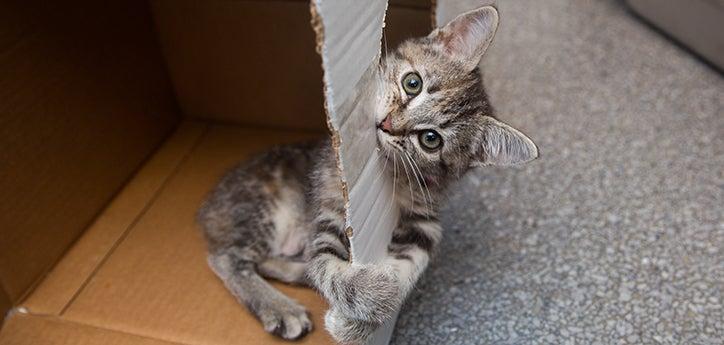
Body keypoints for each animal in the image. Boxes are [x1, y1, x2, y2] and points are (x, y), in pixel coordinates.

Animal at [198, 6, 536, 344]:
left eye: (431, 139)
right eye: (412, 83)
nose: (387, 124)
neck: (397, 175)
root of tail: (208, 204)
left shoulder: (426, 220)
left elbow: (415, 260)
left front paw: (368, 313)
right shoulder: (329, 212)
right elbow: (325, 267)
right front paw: (375, 295)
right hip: (262, 209)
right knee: (227, 258)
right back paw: (281, 308)